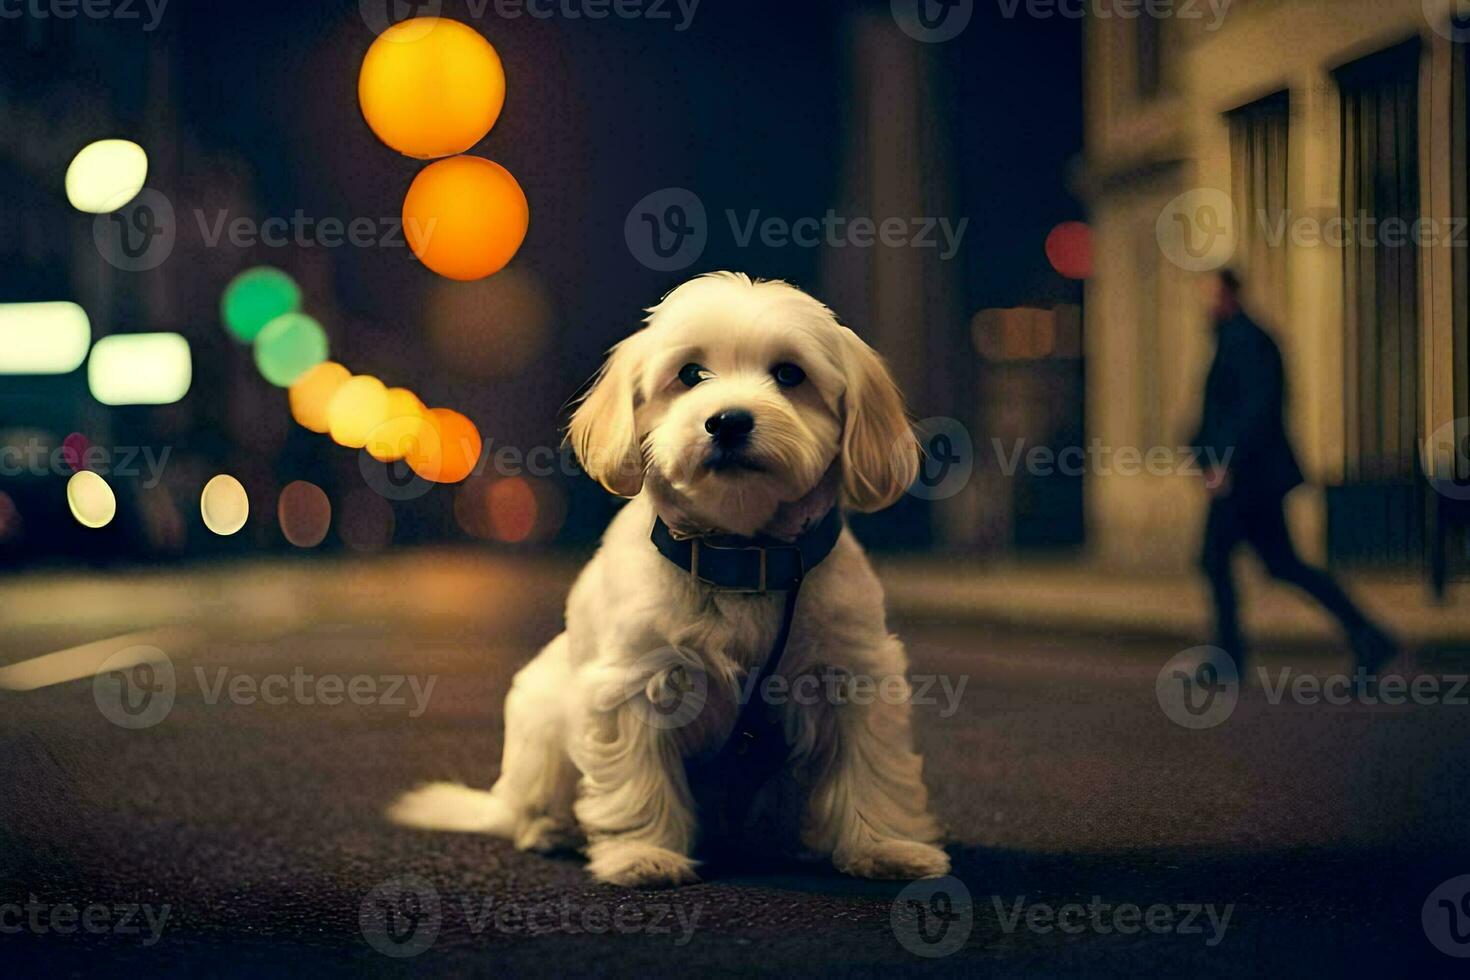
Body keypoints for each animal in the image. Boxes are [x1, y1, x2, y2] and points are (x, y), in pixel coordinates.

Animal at [385, 270, 946, 887]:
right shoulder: (634, 683)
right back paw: (551, 829)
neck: (742, 559)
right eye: (691, 374)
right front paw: (642, 854)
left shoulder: (853, 678)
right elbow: (637, 782)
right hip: (542, 718)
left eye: (789, 374)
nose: (728, 420)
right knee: (528, 810)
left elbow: (873, 771)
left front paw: (886, 846)